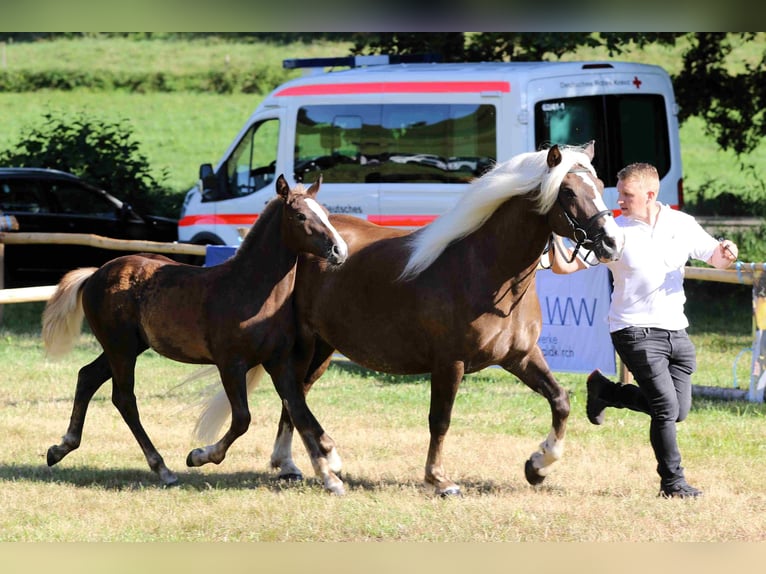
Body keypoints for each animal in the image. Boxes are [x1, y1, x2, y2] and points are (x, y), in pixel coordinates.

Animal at [43, 176, 350, 486]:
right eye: (300, 216)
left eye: (325, 212)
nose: (340, 251)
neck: (250, 290)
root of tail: (95, 273)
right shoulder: (231, 364)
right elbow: (243, 419)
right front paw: (199, 455)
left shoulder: (279, 362)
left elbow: (298, 408)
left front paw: (331, 467)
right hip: (121, 348)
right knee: (124, 398)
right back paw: (162, 468)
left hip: (127, 346)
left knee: (87, 377)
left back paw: (60, 448)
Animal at [196, 143, 624, 496]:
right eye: (568, 192)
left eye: (600, 184)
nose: (612, 242)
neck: (486, 269)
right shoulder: (449, 363)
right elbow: (441, 420)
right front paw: (439, 480)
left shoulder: (520, 356)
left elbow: (560, 400)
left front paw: (538, 465)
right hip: (303, 344)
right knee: (292, 393)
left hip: (321, 346)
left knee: (294, 393)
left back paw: (290, 464)